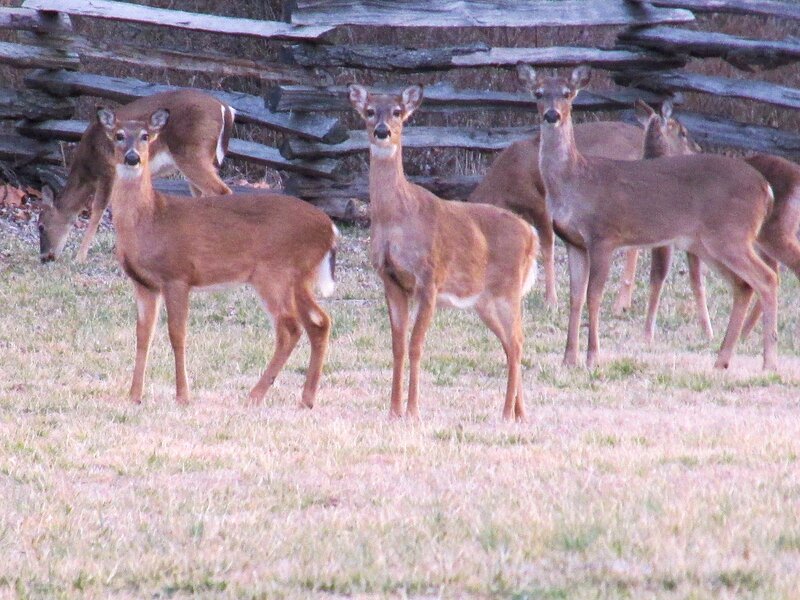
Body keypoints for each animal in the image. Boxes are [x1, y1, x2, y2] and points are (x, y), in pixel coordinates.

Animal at [38, 89, 234, 263]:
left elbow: (98, 211)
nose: (45, 258)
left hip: (193, 155)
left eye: (41, 226)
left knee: (222, 192)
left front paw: (79, 258)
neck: (89, 167)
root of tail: (225, 109)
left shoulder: (108, 171)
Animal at [99, 106, 337, 408]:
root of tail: (331, 229)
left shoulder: (178, 275)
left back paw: (255, 394)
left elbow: (177, 334)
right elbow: (143, 335)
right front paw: (134, 396)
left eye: (145, 136)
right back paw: (306, 398)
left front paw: (183, 395)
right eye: (119, 135)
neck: (149, 220)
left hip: (274, 273)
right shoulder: (144, 284)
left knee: (290, 327)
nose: (133, 158)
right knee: (319, 322)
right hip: (298, 278)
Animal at [349, 84, 539, 422]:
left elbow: (416, 345)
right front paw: (393, 411)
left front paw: (412, 411)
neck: (396, 218)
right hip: (485, 301)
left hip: (508, 289)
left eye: (397, 111)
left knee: (517, 342)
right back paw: (520, 413)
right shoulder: (390, 279)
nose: (382, 131)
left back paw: (506, 413)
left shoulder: (429, 277)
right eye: (369, 111)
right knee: (510, 344)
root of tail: (532, 235)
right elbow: (397, 346)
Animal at [518, 64, 778, 371]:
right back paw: (721, 361)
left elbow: (594, 296)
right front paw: (569, 359)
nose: (552, 115)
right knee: (744, 285)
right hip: (708, 243)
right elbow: (576, 298)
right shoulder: (573, 242)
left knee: (767, 277)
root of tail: (766, 189)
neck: (575, 182)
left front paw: (593, 357)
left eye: (568, 93)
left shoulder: (604, 235)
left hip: (731, 234)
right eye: (538, 93)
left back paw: (769, 362)